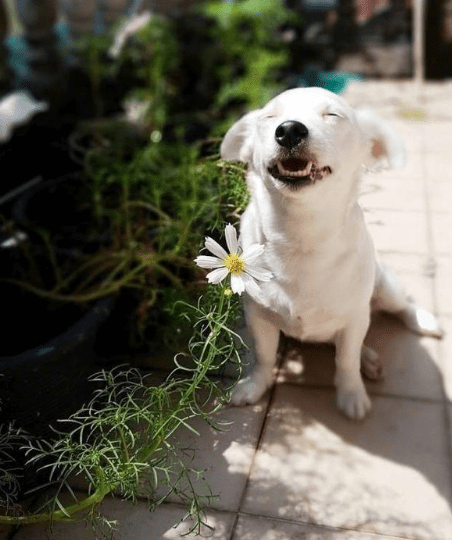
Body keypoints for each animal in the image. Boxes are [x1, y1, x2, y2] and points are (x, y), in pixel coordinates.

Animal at [221, 86, 444, 420]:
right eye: (270, 117)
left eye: (332, 115)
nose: (289, 130)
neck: (301, 235)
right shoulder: (258, 316)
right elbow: (264, 356)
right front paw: (255, 385)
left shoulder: (353, 320)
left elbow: (346, 360)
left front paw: (351, 393)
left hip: (384, 286)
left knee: (400, 307)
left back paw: (418, 324)